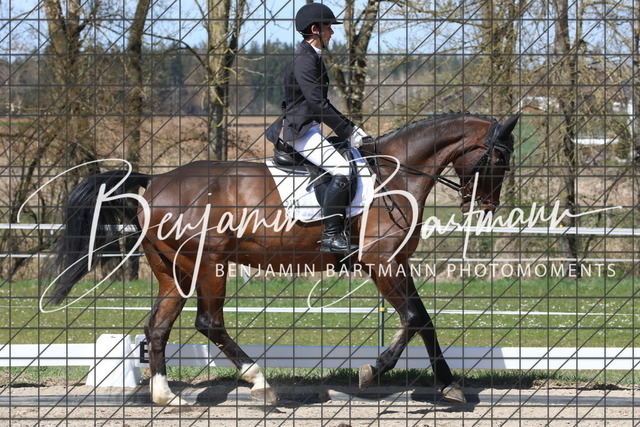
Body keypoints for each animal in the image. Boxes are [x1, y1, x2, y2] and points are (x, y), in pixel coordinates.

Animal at [45, 112, 519, 406]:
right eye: (499, 156)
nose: (486, 205)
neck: (396, 174)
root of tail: (156, 182)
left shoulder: (394, 263)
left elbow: (419, 319)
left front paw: (443, 384)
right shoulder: (382, 263)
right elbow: (416, 318)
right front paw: (378, 372)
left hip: (174, 272)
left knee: (158, 326)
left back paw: (168, 396)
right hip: (210, 263)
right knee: (209, 322)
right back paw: (259, 383)